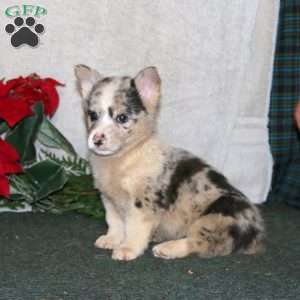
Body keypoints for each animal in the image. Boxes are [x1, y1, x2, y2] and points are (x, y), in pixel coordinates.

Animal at [75, 65, 264, 260]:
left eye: (122, 118)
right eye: (92, 115)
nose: (97, 139)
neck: (122, 158)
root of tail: (257, 233)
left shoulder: (143, 205)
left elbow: (134, 229)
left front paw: (127, 249)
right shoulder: (109, 200)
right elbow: (114, 223)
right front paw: (111, 239)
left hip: (216, 219)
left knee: (200, 243)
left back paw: (167, 248)